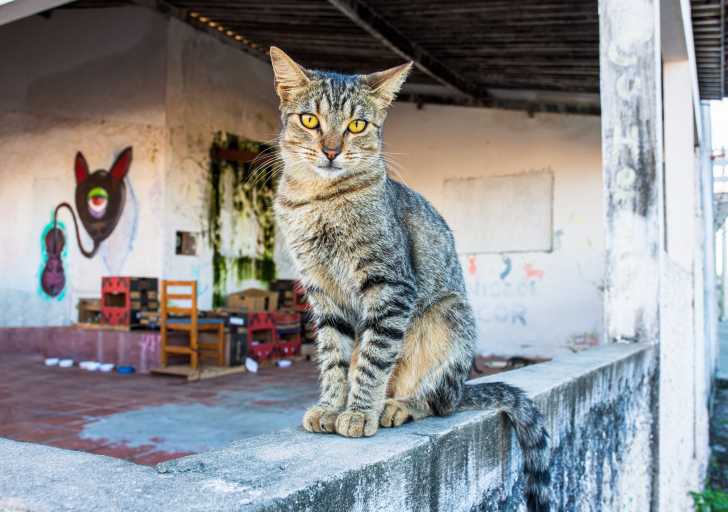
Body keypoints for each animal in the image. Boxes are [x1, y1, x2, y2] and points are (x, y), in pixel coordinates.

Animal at [270, 46, 548, 510]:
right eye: (310, 120)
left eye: (357, 125)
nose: (331, 150)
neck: (320, 201)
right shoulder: (322, 293)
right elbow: (333, 358)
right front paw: (331, 405)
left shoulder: (390, 285)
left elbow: (371, 359)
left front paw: (358, 411)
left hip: (450, 319)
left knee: (439, 402)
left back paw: (395, 406)